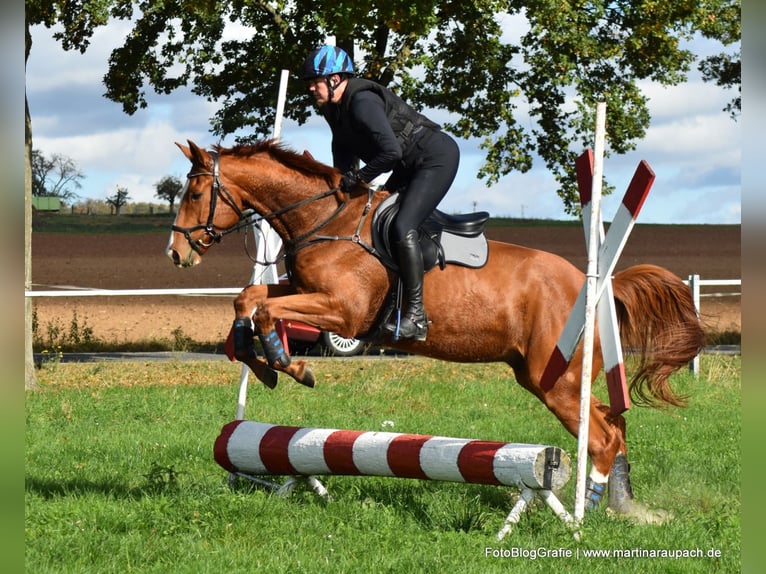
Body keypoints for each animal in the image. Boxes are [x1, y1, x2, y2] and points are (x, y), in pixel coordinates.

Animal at [167, 139, 705, 520]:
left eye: (195, 193)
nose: (176, 254)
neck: (325, 218)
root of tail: (593, 285)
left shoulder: (344, 313)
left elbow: (262, 307)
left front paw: (288, 365)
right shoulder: (303, 292)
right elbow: (250, 298)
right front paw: (264, 362)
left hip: (559, 381)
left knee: (604, 437)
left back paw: (585, 512)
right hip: (548, 378)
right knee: (615, 425)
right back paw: (622, 506)